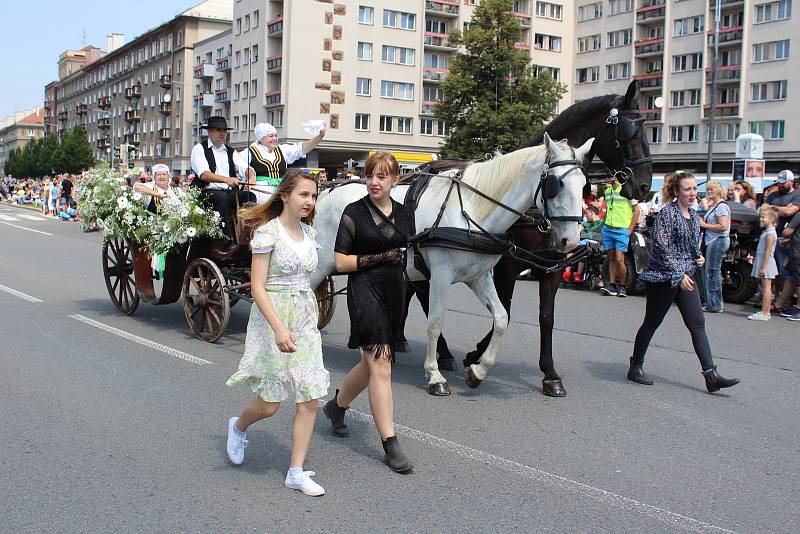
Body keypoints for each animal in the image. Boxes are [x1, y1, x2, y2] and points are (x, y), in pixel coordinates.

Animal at [312, 136, 592, 396]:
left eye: (584, 185)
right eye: (556, 184)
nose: (570, 241)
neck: (470, 211)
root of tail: (326, 193)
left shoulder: (480, 276)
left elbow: (501, 317)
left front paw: (477, 371)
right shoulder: (441, 276)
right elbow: (435, 322)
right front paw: (435, 375)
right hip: (322, 266)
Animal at [410, 80, 652, 398]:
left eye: (647, 130)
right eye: (627, 133)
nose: (645, 185)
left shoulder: (552, 267)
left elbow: (545, 317)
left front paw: (549, 373)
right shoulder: (507, 266)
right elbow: (507, 310)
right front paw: (476, 355)